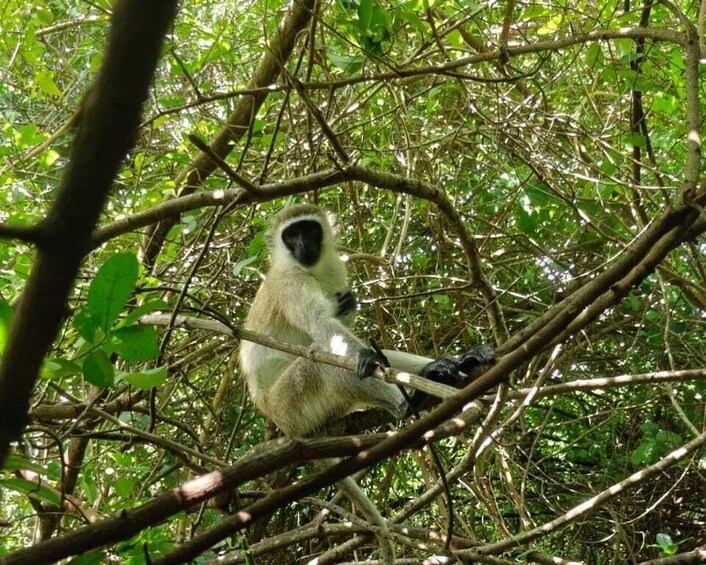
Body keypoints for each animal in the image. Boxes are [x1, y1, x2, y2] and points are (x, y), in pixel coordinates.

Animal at [239, 203, 494, 563]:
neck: (310, 267)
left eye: (309, 230)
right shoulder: (290, 282)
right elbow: (325, 329)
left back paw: (446, 368)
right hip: (291, 404)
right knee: (324, 363)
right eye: (291, 235)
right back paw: (405, 403)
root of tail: (276, 419)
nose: (303, 245)